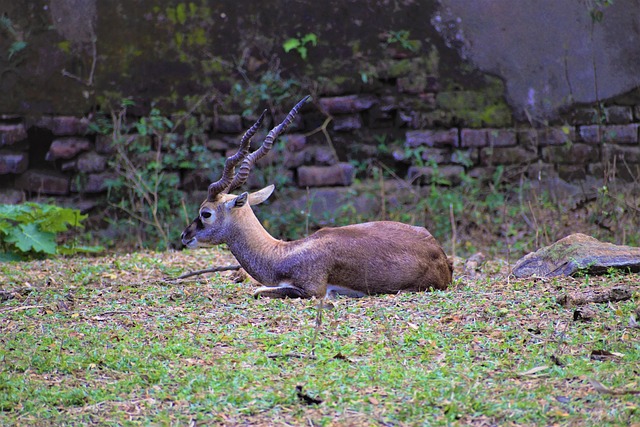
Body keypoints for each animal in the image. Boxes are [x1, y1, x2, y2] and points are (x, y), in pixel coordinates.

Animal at [180, 96, 452, 298]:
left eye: (206, 213)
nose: (185, 236)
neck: (281, 253)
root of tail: (440, 253)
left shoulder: (312, 290)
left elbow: (258, 291)